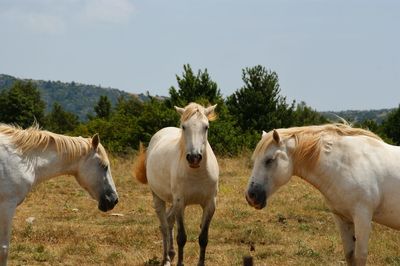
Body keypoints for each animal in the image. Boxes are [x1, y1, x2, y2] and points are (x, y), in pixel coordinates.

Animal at [134, 102, 219, 266]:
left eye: (206, 127)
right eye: (184, 127)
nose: (194, 158)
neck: (196, 173)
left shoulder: (210, 204)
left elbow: (203, 238)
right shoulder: (180, 203)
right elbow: (182, 238)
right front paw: (180, 262)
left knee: (169, 221)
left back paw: (171, 253)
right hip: (158, 198)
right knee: (164, 226)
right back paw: (166, 258)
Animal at [245, 124, 400, 266]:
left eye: (269, 160)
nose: (250, 196)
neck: (348, 164)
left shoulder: (363, 218)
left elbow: (360, 257)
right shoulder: (342, 218)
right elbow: (350, 256)